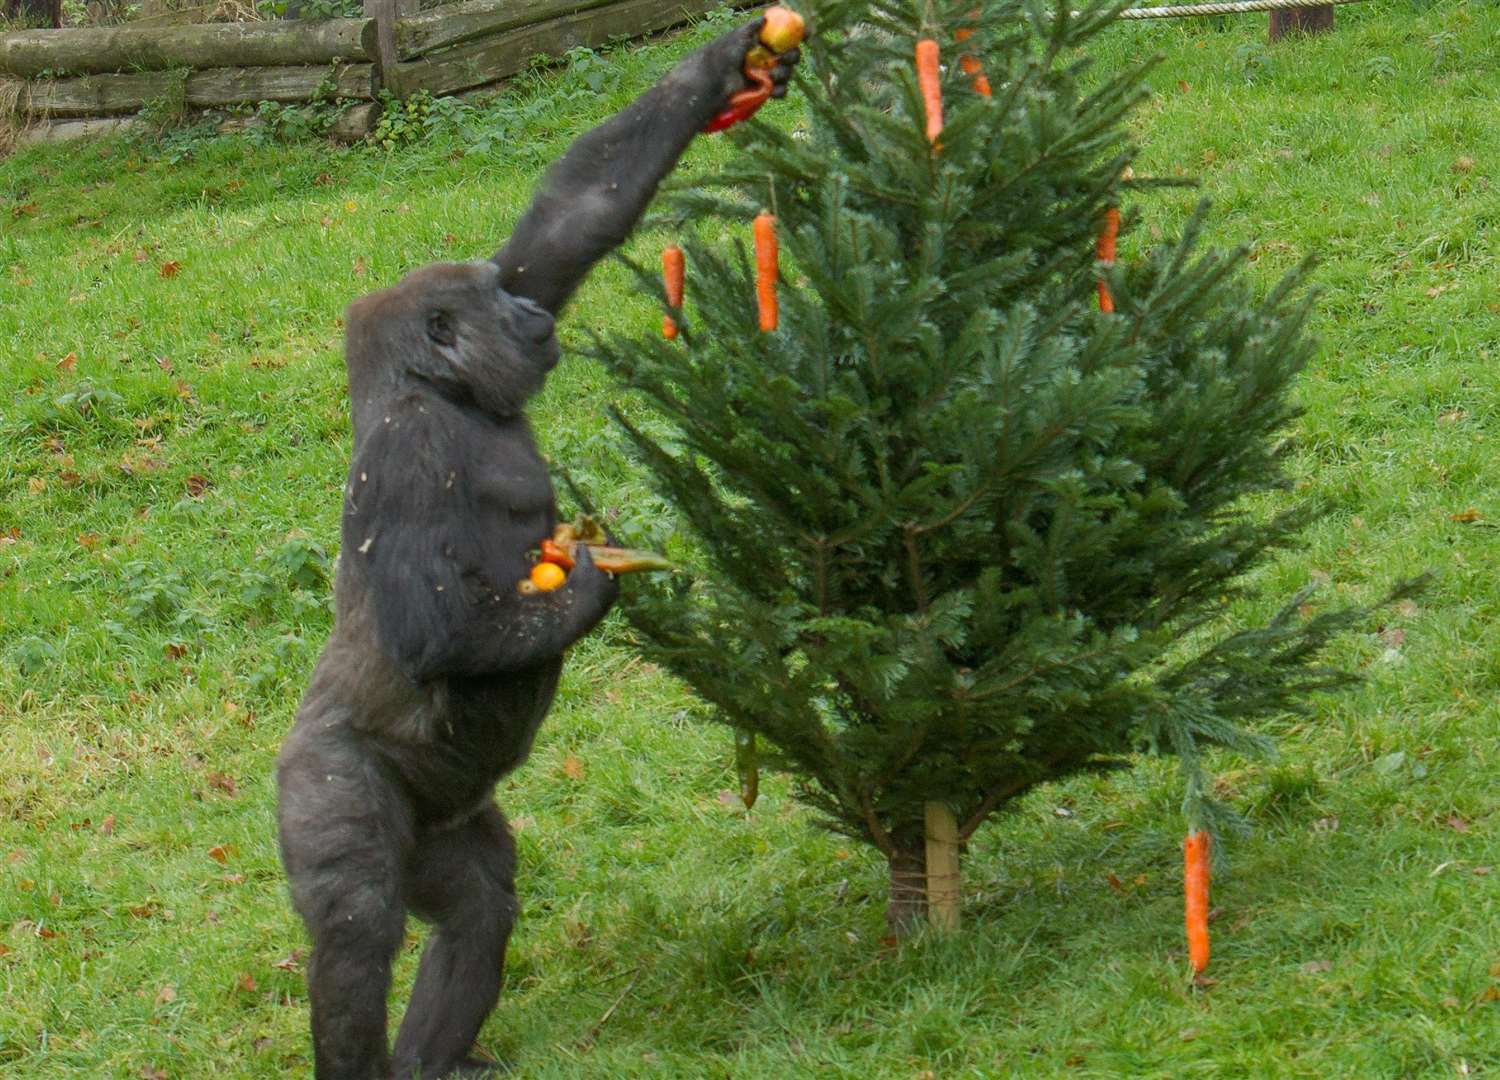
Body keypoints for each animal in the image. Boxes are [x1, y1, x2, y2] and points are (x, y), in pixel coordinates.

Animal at [277, 25, 804, 1080]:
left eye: (504, 295)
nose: (532, 321)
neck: (438, 391)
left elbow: (575, 216)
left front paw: (720, 70)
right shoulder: (407, 454)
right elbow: (431, 625)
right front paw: (586, 595)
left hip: (442, 822)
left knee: (477, 902)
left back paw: (434, 1058)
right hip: (318, 777)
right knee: (355, 924)